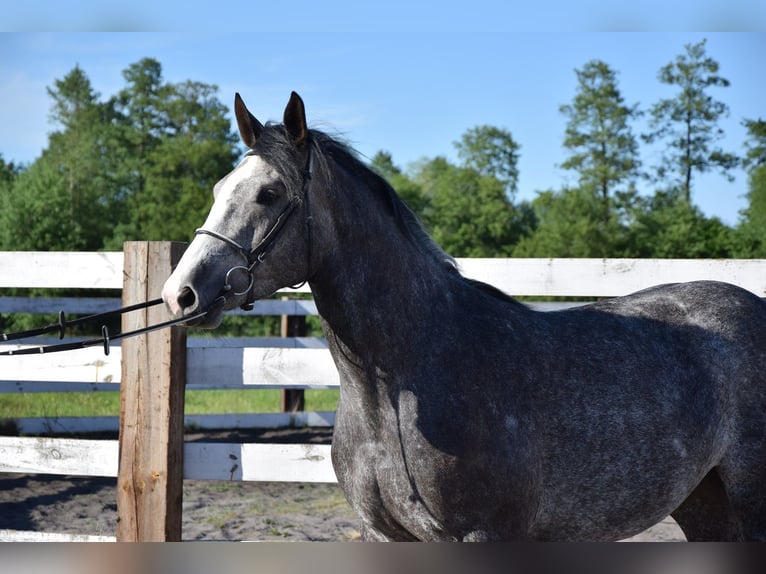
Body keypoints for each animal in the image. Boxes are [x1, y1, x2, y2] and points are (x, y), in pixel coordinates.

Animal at [162, 91, 766, 541]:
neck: (405, 379)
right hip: (704, 504)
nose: (180, 294)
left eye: (269, 193)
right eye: (220, 188)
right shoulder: (383, 535)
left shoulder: (482, 536)